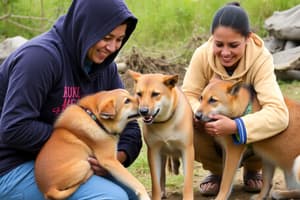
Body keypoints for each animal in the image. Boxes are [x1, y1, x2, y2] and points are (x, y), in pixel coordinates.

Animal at [128, 69, 195, 199]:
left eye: (155, 94)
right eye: (139, 94)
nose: (143, 111)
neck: (165, 123)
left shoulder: (187, 150)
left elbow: (187, 183)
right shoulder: (154, 151)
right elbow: (156, 183)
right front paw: (157, 195)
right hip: (162, 154)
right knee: (162, 176)